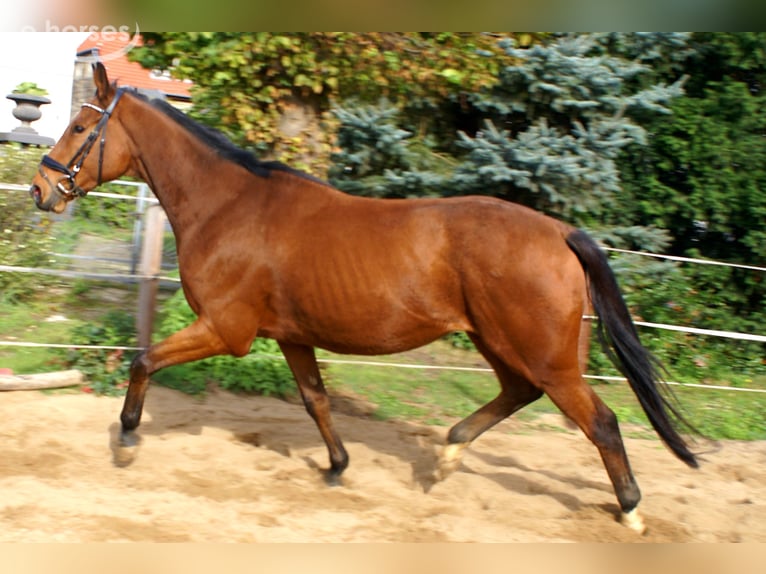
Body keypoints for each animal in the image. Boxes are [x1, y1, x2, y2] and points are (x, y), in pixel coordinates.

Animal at [30, 62, 697, 534]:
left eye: (82, 127)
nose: (40, 188)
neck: (229, 207)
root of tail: (559, 231)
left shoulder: (226, 330)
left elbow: (143, 361)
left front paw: (127, 440)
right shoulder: (290, 336)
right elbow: (316, 402)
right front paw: (337, 467)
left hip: (544, 355)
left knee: (600, 422)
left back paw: (630, 510)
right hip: (501, 343)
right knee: (518, 394)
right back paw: (448, 457)